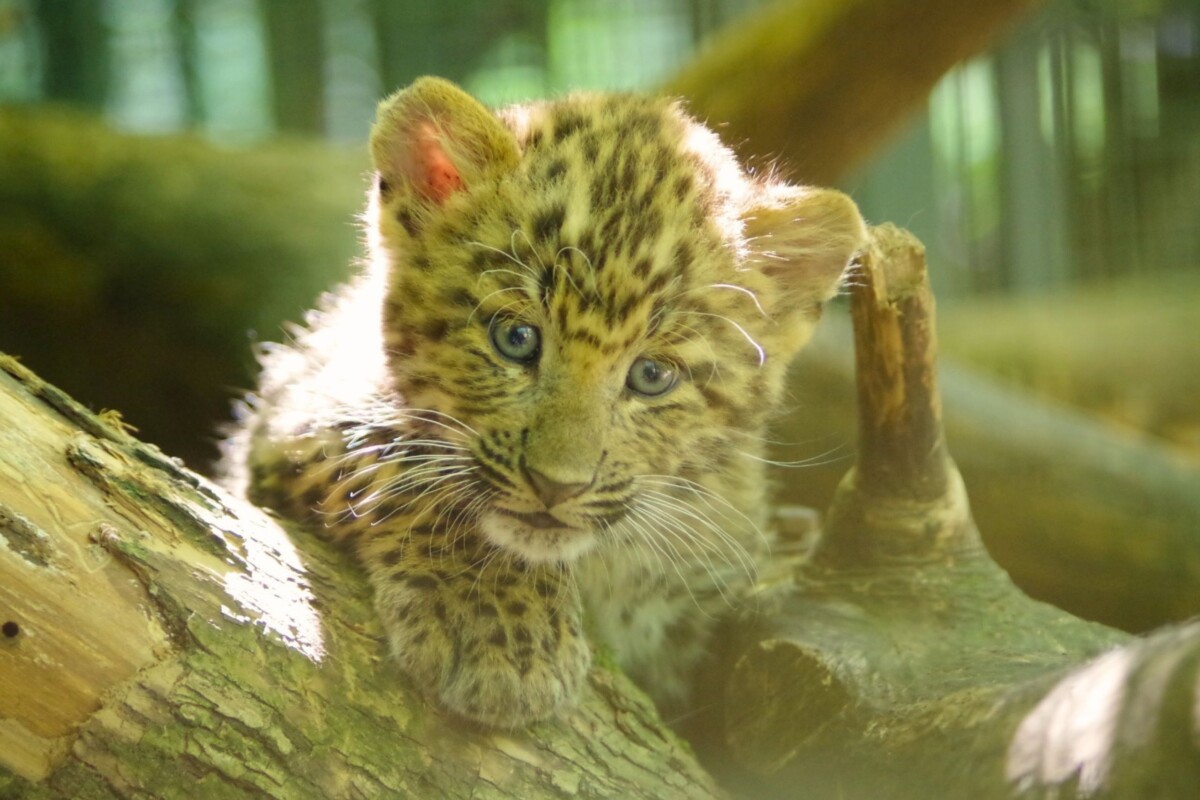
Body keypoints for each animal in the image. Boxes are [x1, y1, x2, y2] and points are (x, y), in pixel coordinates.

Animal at [221, 76, 865, 729]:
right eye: (516, 338)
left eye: (652, 376)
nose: (557, 487)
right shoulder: (298, 402)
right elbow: (403, 457)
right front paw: (494, 625)